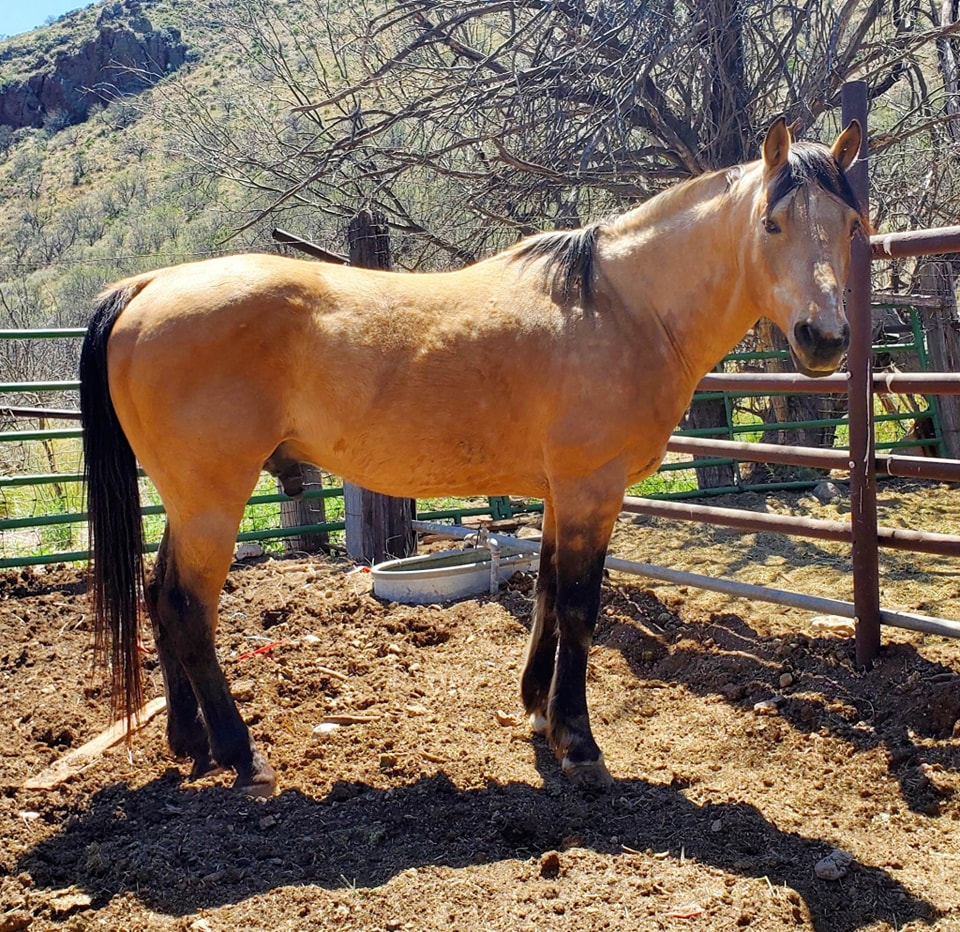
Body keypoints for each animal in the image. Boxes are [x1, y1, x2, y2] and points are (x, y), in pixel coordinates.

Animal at [80, 118, 866, 794]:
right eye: (771, 224)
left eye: (852, 226)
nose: (826, 338)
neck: (619, 307)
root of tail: (146, 287)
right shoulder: (592, 488)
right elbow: (580, 606)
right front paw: (579, 741)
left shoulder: (559, 491)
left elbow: (546, 592)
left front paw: (539, 711)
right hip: (213, 498)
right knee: (188, 607)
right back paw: (242, 755)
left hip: (189, 500)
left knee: (159, 595)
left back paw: (192, 743)